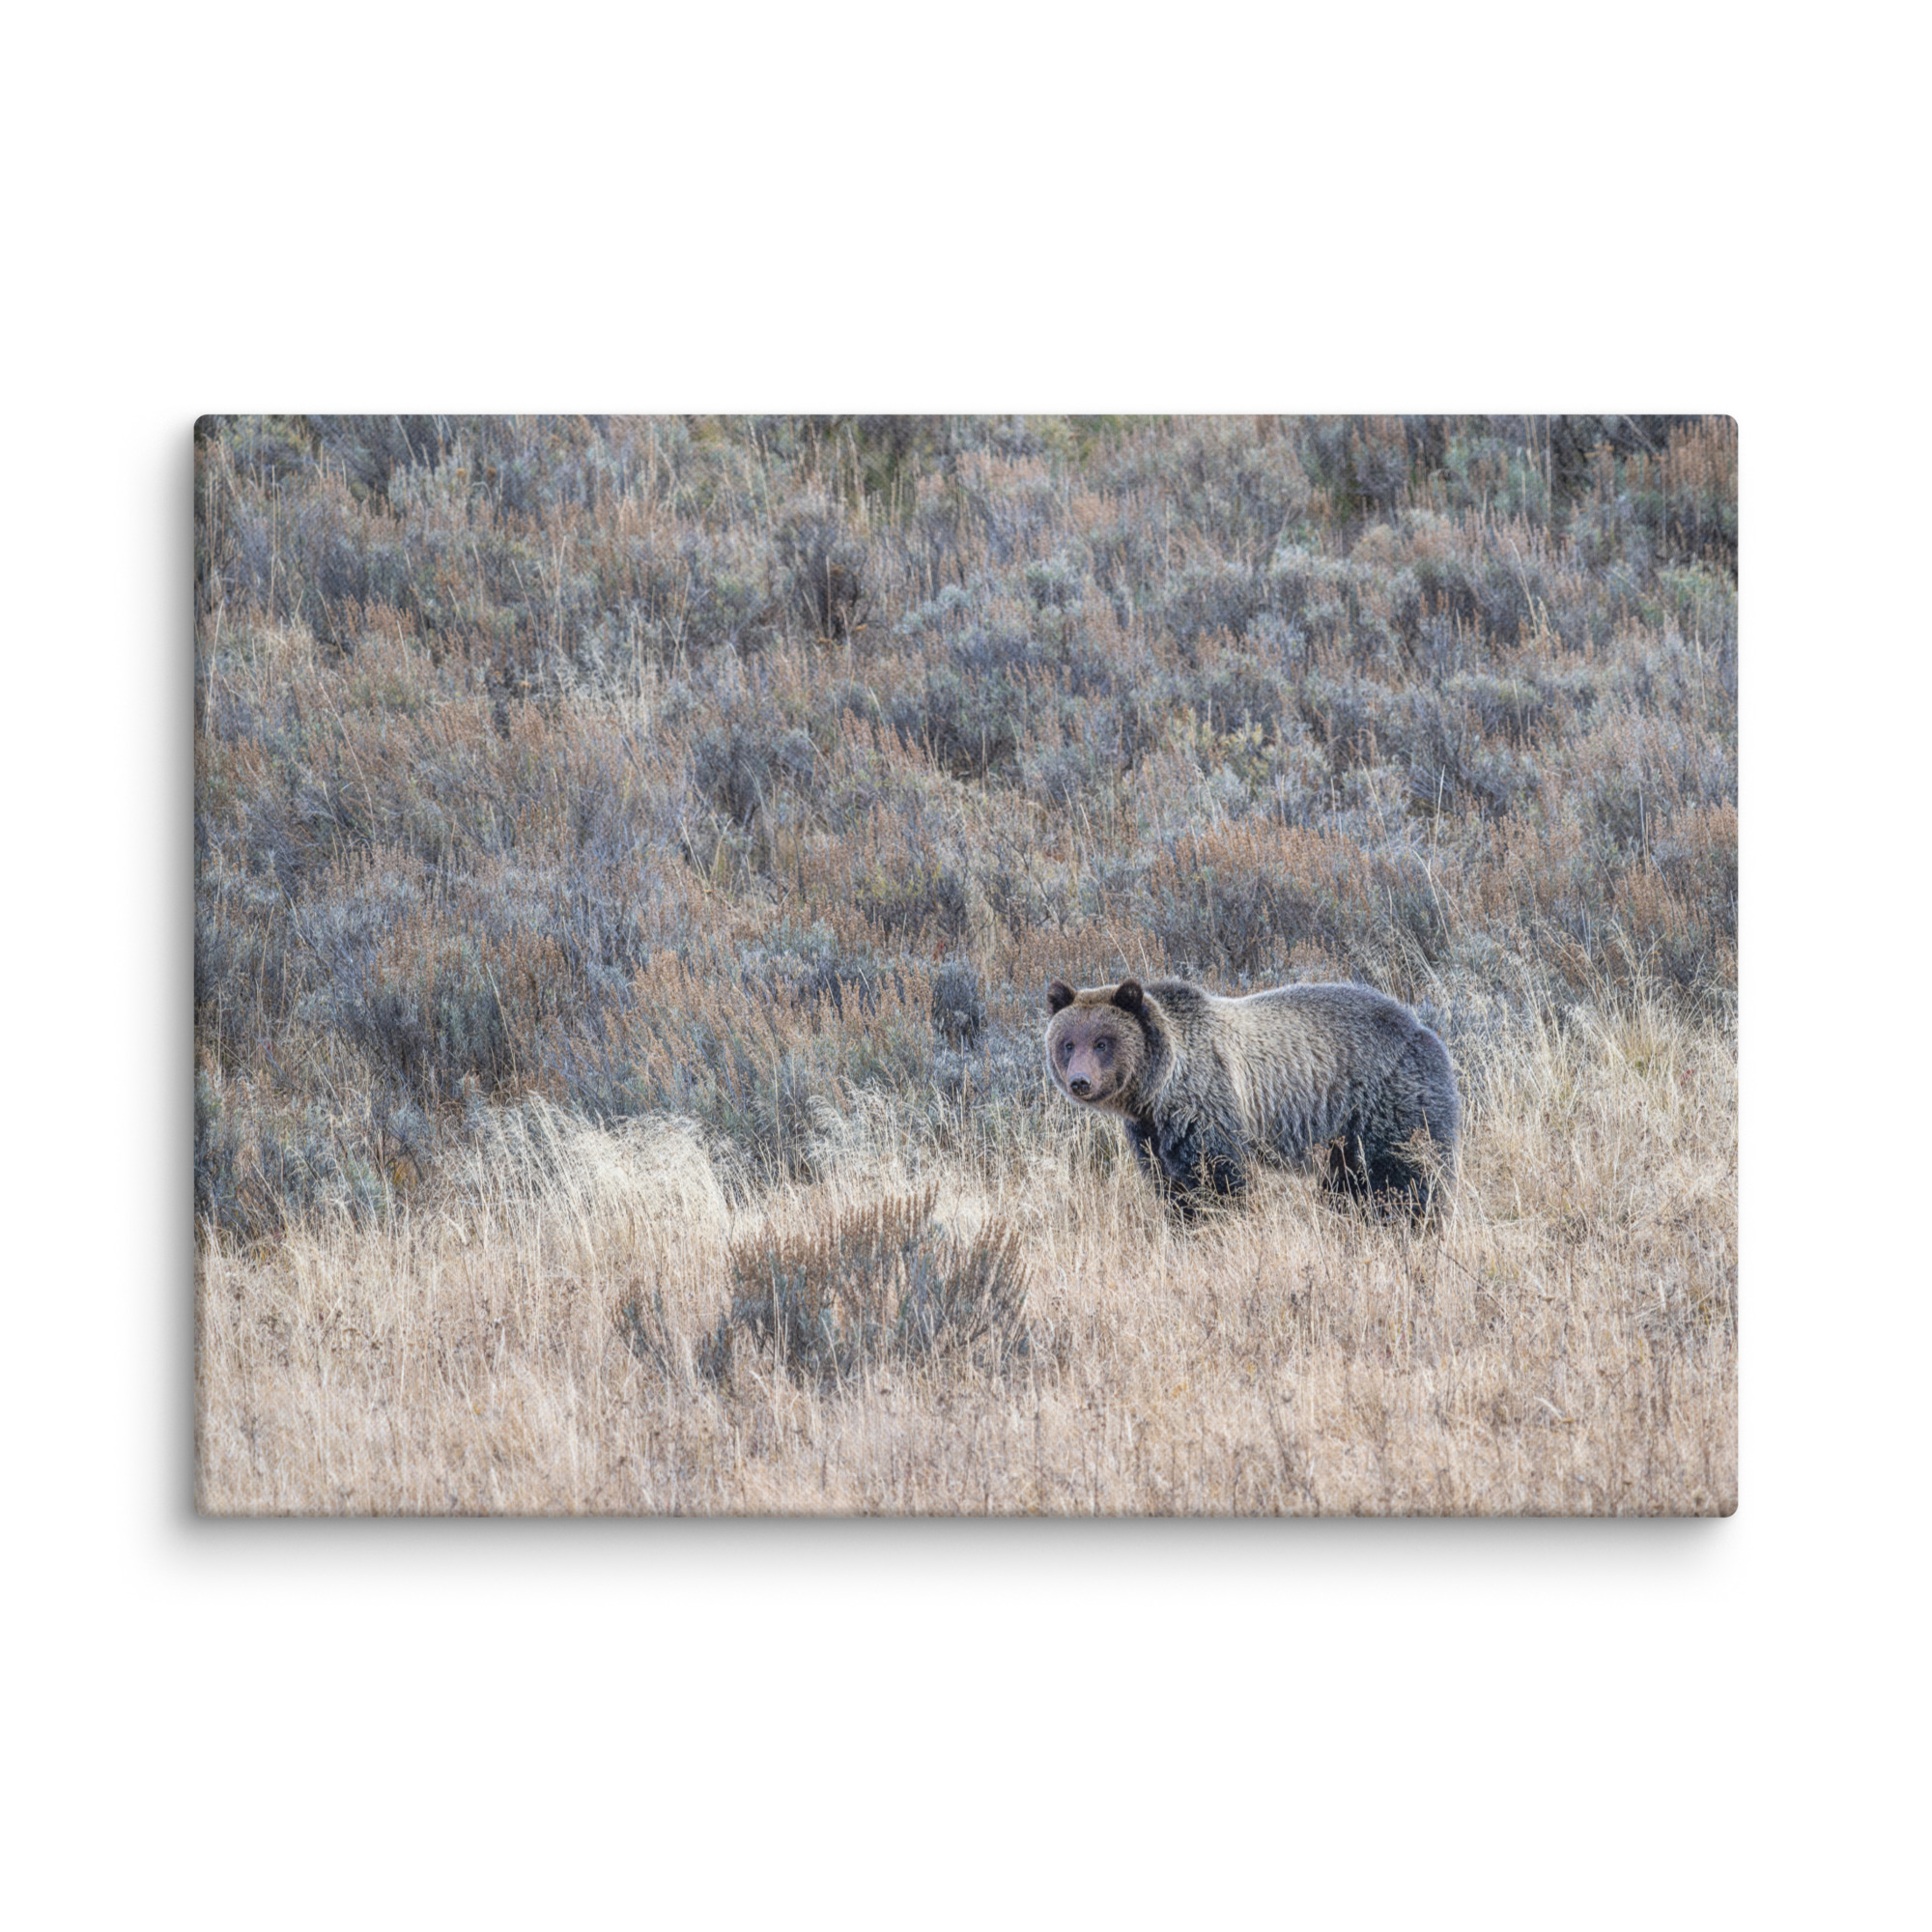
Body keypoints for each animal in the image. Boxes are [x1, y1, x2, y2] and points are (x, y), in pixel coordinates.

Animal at [1044, 975, 1459, 1221]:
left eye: (1102, 1042)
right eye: (1068, 1043)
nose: (1080, 1081)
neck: (1157, 1090)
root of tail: (1423, 1029)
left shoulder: (1206, 1106)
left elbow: (1218, 1179)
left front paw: (1218, 1222)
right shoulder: (1151, 1133)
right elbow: (1170, 1185)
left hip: (1388, 1100)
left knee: (1405, 1173)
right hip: (1344, 1136)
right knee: (1348, 1183)